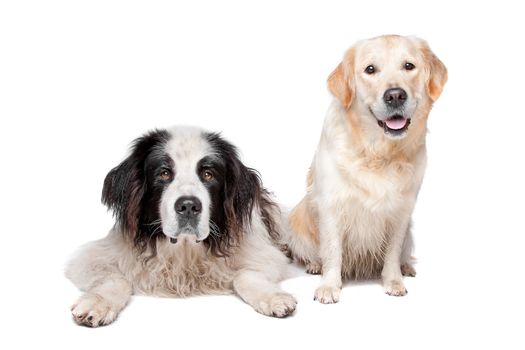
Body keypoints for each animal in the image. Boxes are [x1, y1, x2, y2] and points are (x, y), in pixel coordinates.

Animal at [66, 127, 294, 326]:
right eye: (164, 173)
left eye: (208, 174)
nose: (189, 206)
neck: (184, 249)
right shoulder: (93, 257)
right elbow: (116, 279)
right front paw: (96, 303)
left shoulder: (260, 252)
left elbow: (244, 274)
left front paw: (274, 298)